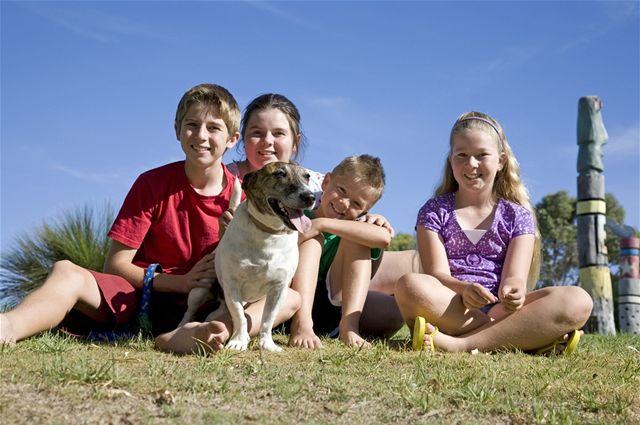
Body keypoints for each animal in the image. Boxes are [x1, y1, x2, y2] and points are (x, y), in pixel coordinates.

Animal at [179, 162, 314, 352]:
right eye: (279, 173)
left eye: (307, 176)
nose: (310, 197)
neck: (268, 234)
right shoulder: (232, 285)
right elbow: (239, 316)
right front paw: (238, 341)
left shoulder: (279, 289)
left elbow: (267, 319)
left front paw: (267, 344)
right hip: (199, 290)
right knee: (191, 310)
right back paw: (183, 326)